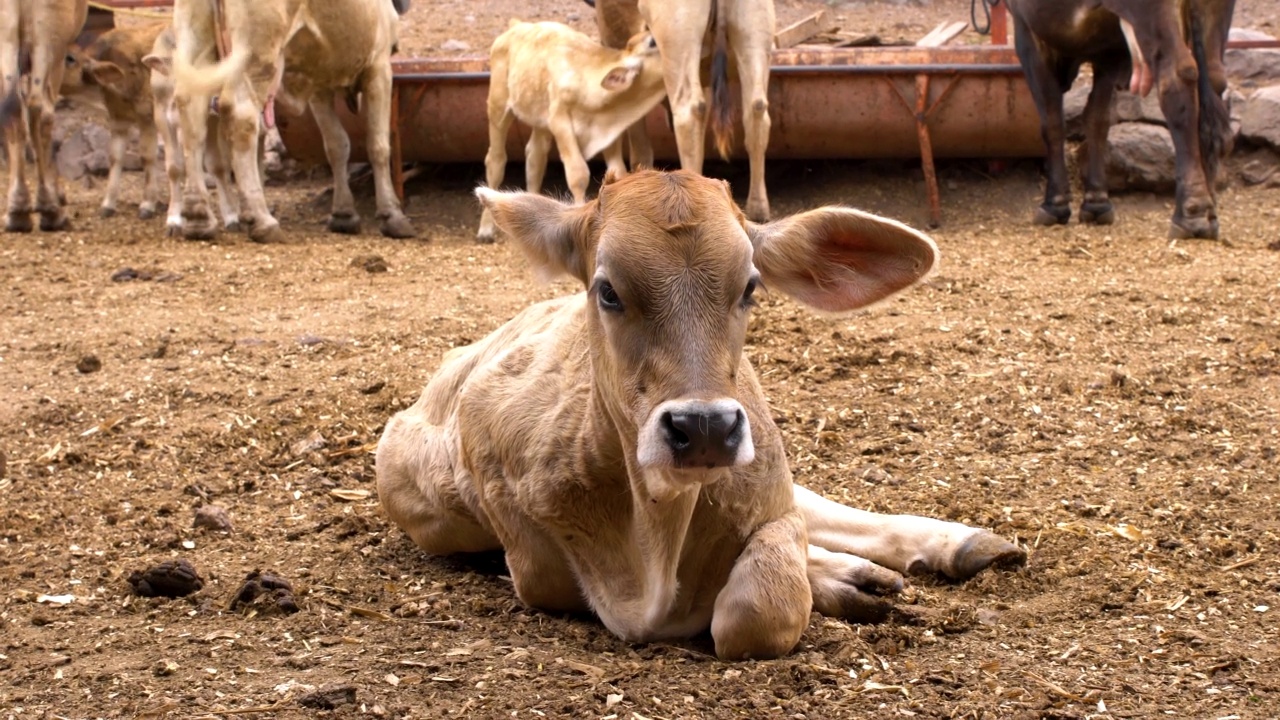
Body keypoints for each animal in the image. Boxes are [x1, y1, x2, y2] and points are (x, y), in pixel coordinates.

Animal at [170, 0, 414, 242]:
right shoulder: (379, 67)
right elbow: (378, 145)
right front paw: (392, 215)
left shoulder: (319, 84)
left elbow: (337, 145)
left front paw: (344, 214)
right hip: (257, 53)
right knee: (241, 115)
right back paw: (262, 220)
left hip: (196, 40)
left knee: (190, 110)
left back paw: (198, 217)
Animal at [476, 21, 665, 240]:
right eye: (652, 42)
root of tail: (518, 24)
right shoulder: (560, 121)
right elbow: (578, 173)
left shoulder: (609, 135)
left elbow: (618, 171)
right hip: (498, 106)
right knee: (496, 160)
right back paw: (485, 229)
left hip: (540, 121)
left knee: (535, 159)